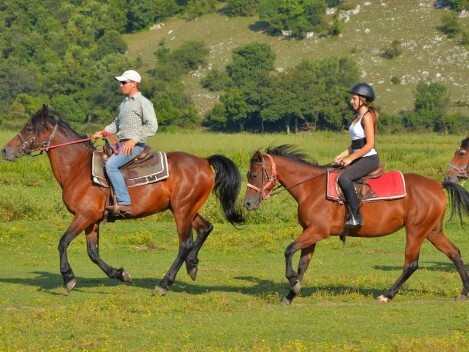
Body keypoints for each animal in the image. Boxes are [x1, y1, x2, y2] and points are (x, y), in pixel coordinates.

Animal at [2, 104, 245, 294]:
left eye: (29, 128)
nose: (5, 150)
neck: (79, 168)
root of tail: (204, 161)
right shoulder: (92, 220)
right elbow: (93, 253)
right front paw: (120, 274)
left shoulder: (83, 216)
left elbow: (63, 243)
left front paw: (68, 278)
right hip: (187, 209)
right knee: (205, 228)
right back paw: (192, 265)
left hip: (182, 211)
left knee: (185, 244)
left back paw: (164, 284)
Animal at [243, 144, 468, 304]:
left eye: (253, 175)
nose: (247, 204)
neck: (311, 187)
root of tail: (437, 184)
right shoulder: (310, 232)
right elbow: (303, 264)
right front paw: (292, 293)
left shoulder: (317, 231)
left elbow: (289, 250)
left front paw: (292, 280)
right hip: (432, 231)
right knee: (454, 253)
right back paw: (464, 292)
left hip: (416, 231)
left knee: (411, 264)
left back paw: (387, 294)